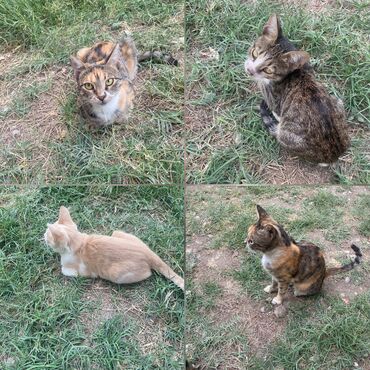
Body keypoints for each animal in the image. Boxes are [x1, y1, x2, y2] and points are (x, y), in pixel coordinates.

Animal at [44, 205, 184, 290]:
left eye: (47, 235)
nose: (43, 236)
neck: (79, 241)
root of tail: (148, 253)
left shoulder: (82, 272)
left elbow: (64, 270)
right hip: (117, 232)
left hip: (117, 274)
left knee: (147, 274)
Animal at [244, 14, 348, 164]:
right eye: (255, 53)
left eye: (268, 70)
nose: (250, 70)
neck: (297, 70)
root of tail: (334, 156)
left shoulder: (274, 101)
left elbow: (276, 112)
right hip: (337, 101)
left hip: (286, 135)